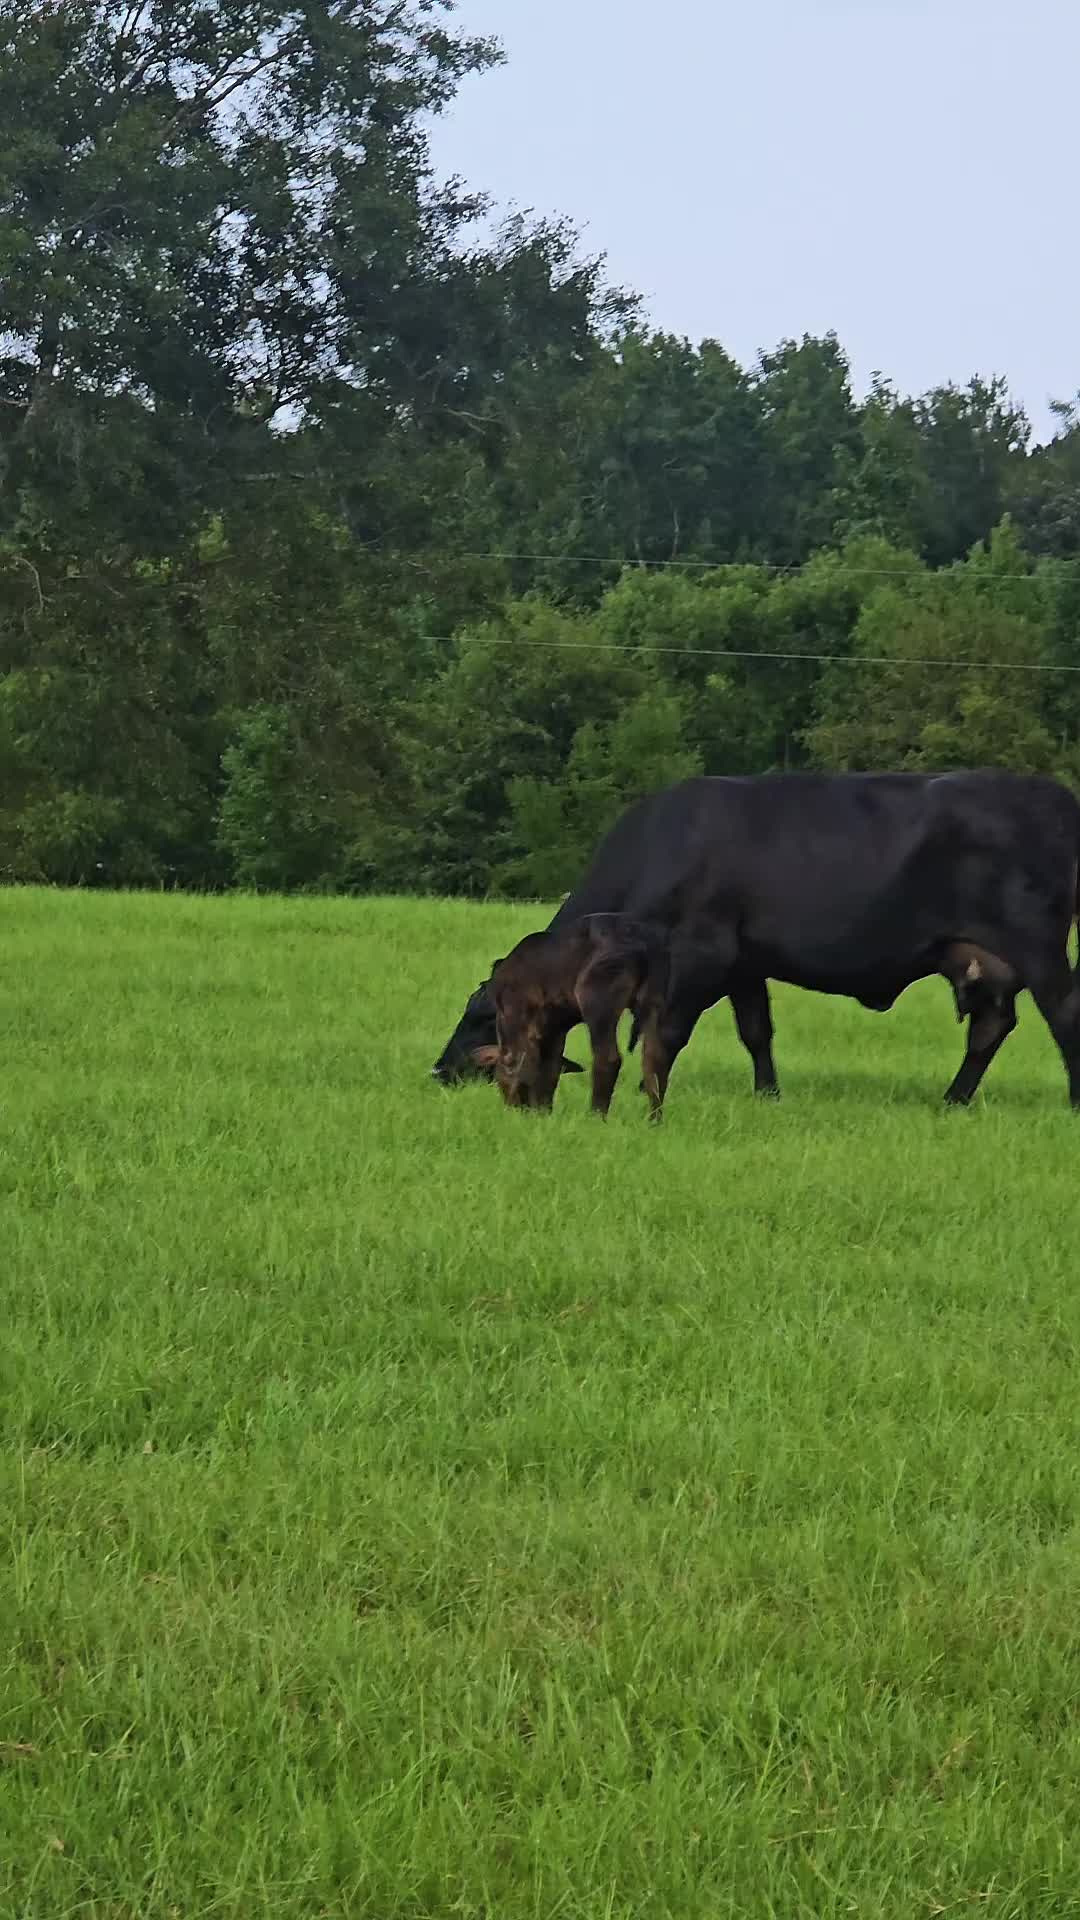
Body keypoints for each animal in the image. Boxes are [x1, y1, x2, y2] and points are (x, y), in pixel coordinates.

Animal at [489, 914, 670, 1117]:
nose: (512, 1108)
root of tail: (643, 945)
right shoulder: (555, 1029)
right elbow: (550, 1069)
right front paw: (544, 1112)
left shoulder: (521, 1019)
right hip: (655, 1001)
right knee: (655, 1059)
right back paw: (654, 1119)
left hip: (597, 1002)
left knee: (608, 1059)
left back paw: (596, 1115)